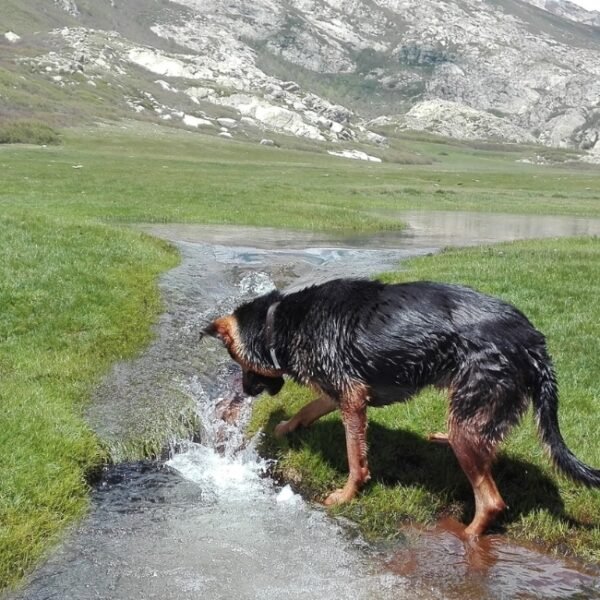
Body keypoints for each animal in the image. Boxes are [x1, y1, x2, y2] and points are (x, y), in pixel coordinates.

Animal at [206, 278, 600, 536]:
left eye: (236, 360)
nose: (245, 390)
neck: (277, 324)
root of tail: (533, 342)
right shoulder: (343, 390)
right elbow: (310, 408)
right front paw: (286, 428)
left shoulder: (352, 399)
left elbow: (355, 458)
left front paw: (347, 495)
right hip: (478, 418)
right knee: (490, 455)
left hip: (469, 418)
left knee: (491, 502)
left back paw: (466, 538)